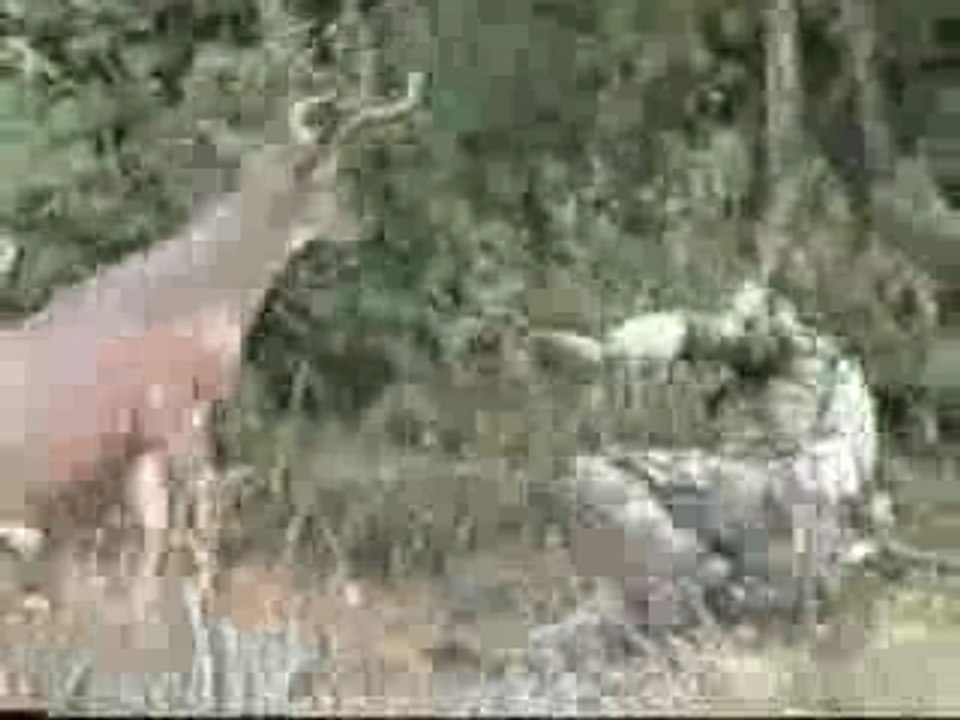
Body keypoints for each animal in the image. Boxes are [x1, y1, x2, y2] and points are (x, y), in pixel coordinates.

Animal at [0, 72, 426, 617]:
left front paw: (144, 609)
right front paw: (203, 597)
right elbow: (206, 503)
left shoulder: (146, 433)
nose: (365, 225)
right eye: (331, 180)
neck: (216, 298)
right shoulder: (181, 406)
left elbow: (156, 524)